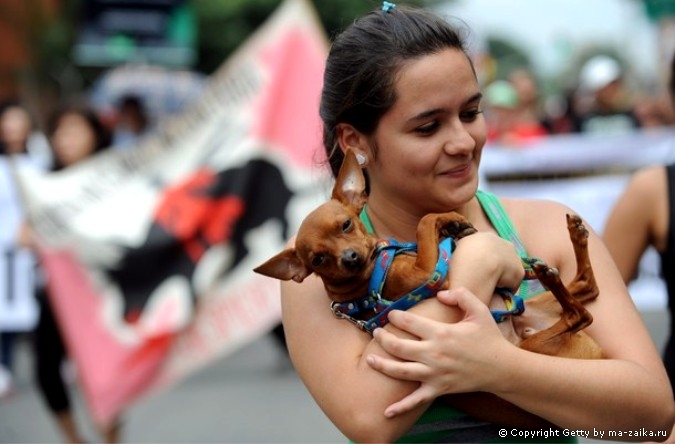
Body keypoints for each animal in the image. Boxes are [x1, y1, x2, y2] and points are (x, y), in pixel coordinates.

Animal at [255, 149, 604, 360]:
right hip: (533, 346)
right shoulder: (424, 273)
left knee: (587, 286)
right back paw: (550, 275)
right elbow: (424, 220)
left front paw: (454, 226)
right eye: (318, 260)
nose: (350, 258)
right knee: (580, 314)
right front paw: (449, 219)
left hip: (536, 305)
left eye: (345, 224)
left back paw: (574, 235)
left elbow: (430, 223)